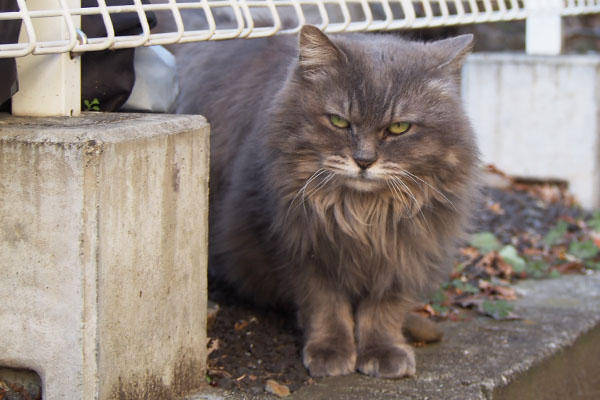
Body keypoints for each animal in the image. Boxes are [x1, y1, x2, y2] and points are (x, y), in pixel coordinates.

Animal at [176, 24, 480, 378]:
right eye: (339, 122)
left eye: (399, 127)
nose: (364, 161)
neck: (364, 215)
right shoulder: (302, 249)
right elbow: (324, 306)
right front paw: (331, 352)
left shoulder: (403, 252)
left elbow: (384, 309)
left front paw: (383, 351)